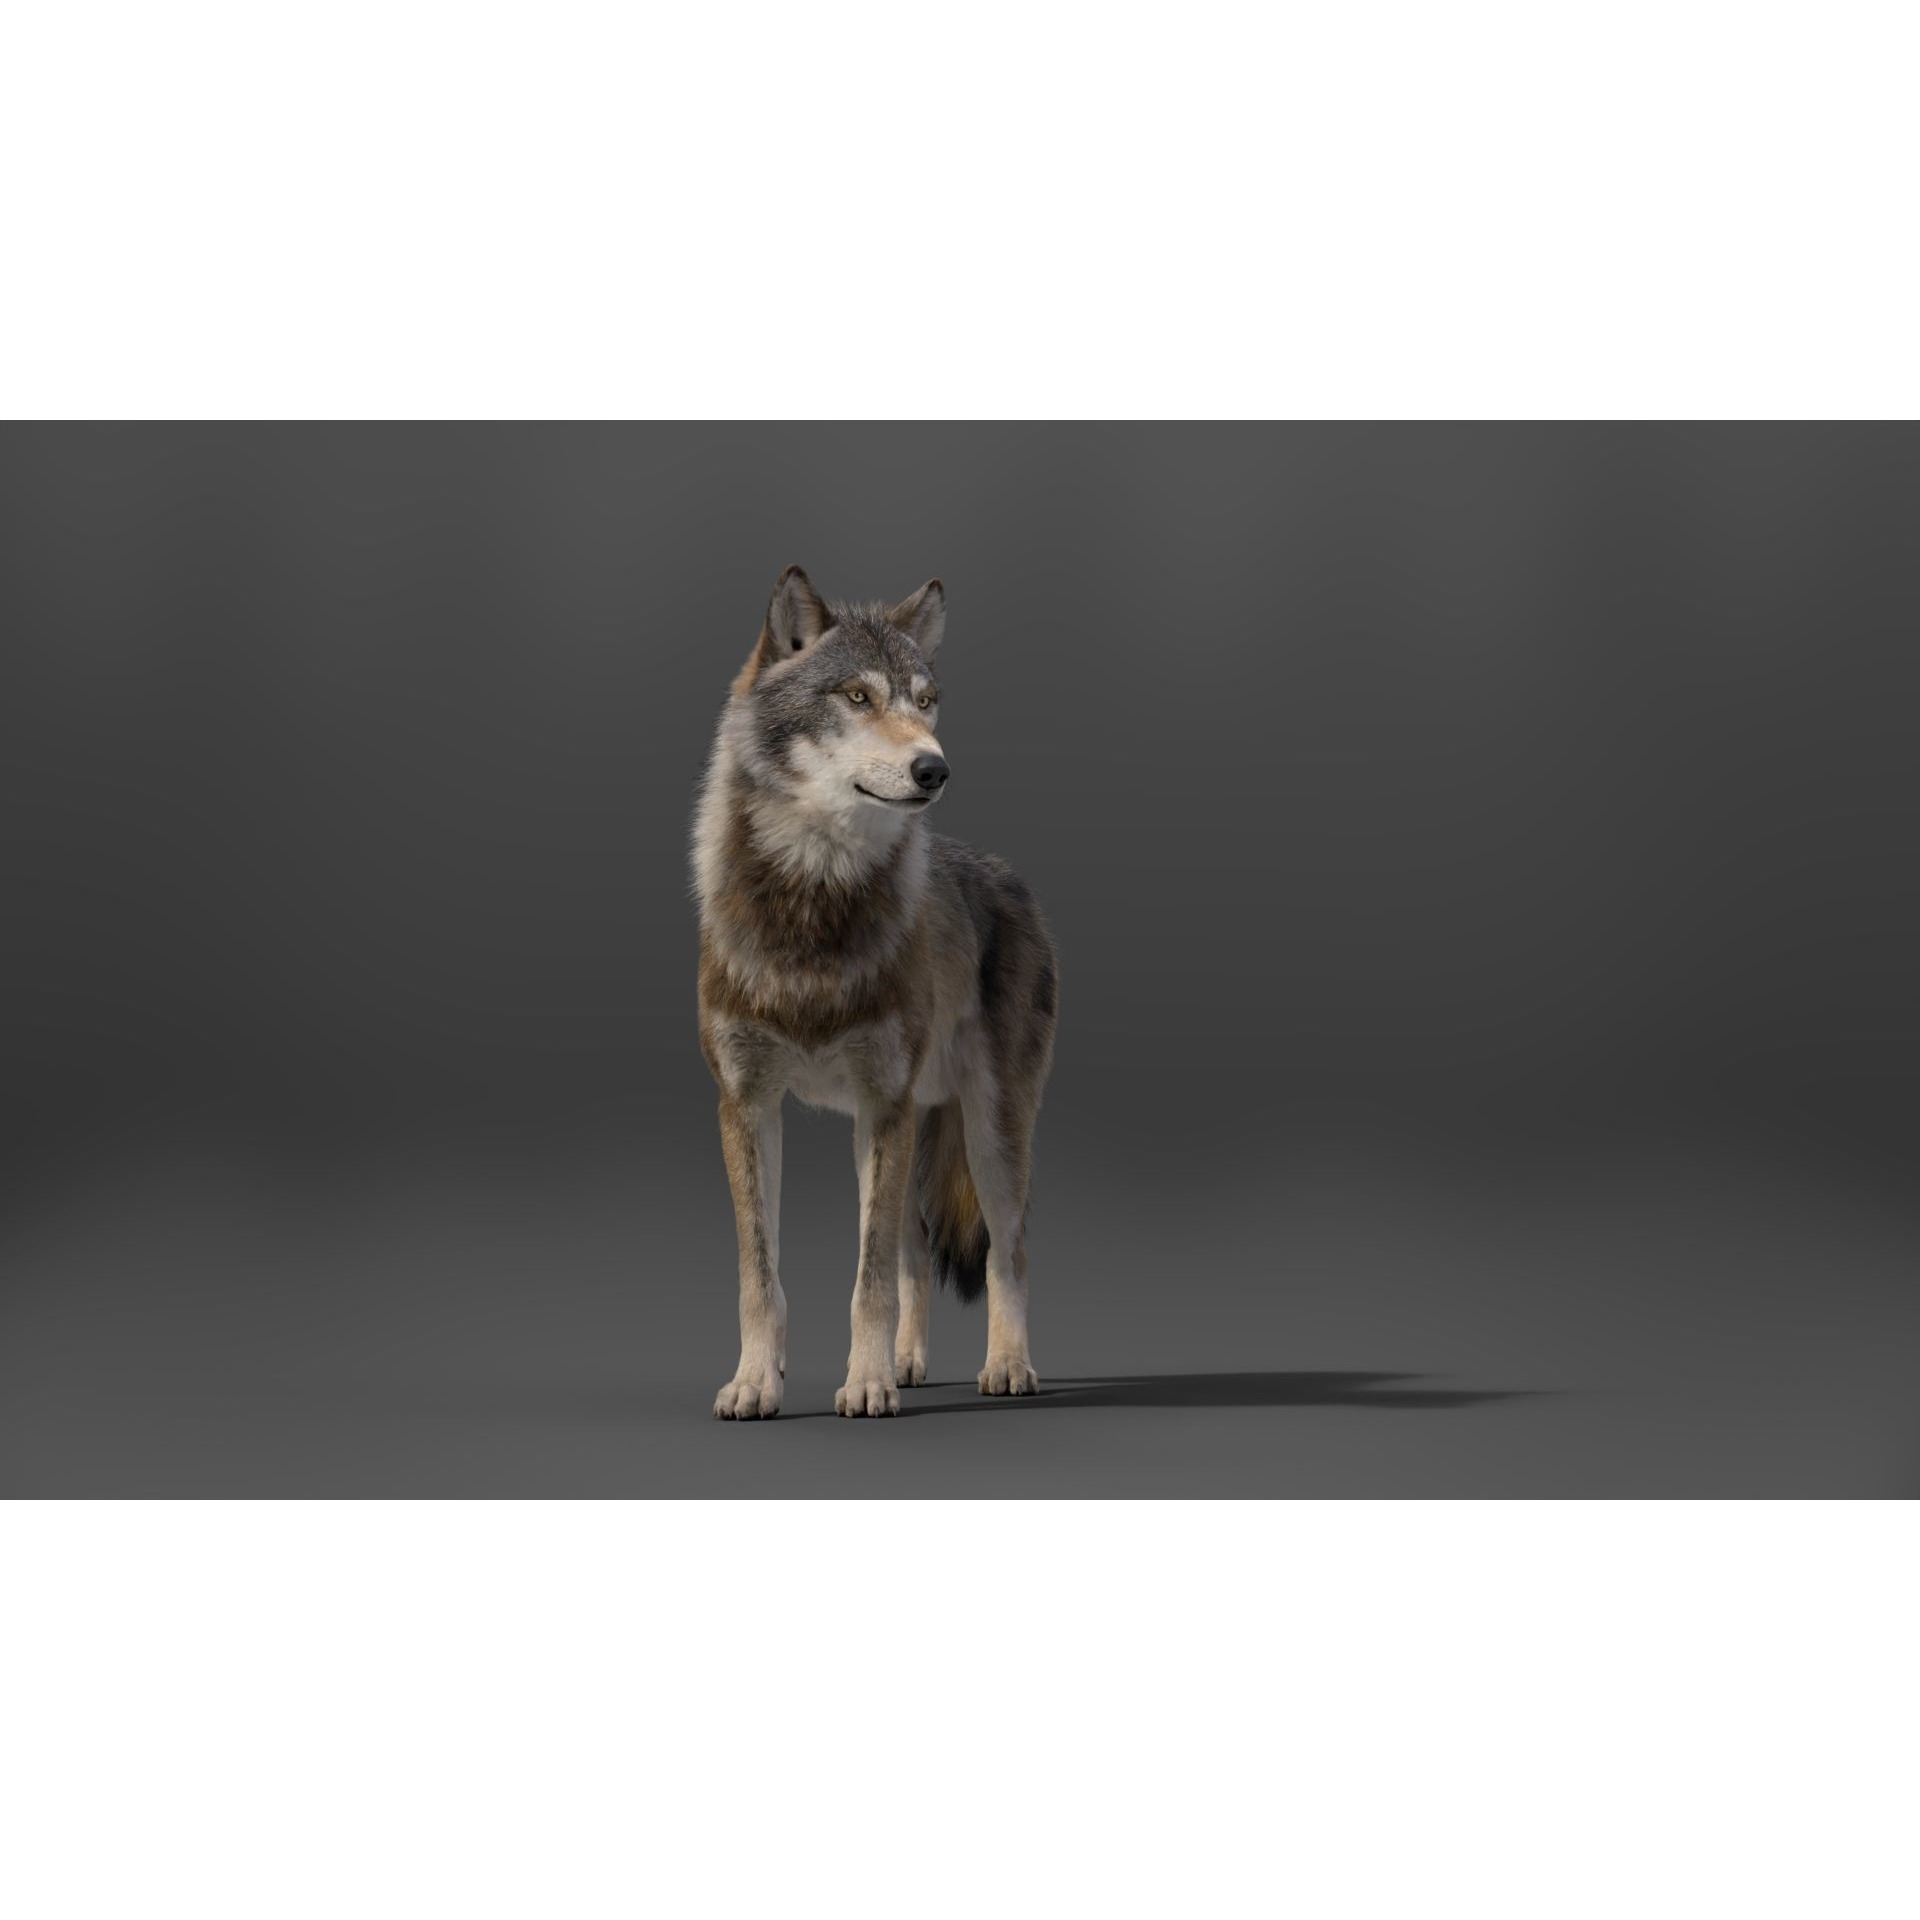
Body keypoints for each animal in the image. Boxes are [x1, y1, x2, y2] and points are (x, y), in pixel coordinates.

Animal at [692, 565, 1058, 1418]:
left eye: (924, 701)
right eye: (857, 697)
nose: (935, 768)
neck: (812, 904)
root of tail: (1006, 874)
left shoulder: (882, 1103)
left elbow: (869, 1282)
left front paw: (864, 1383)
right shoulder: (748, 1105)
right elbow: (762, 1274)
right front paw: (756, 1381)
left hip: (988, 1132)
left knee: (1008, 1250)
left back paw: (1007, 1367)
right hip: (900, 1126)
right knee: (914, 1251)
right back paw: (910, 1362)